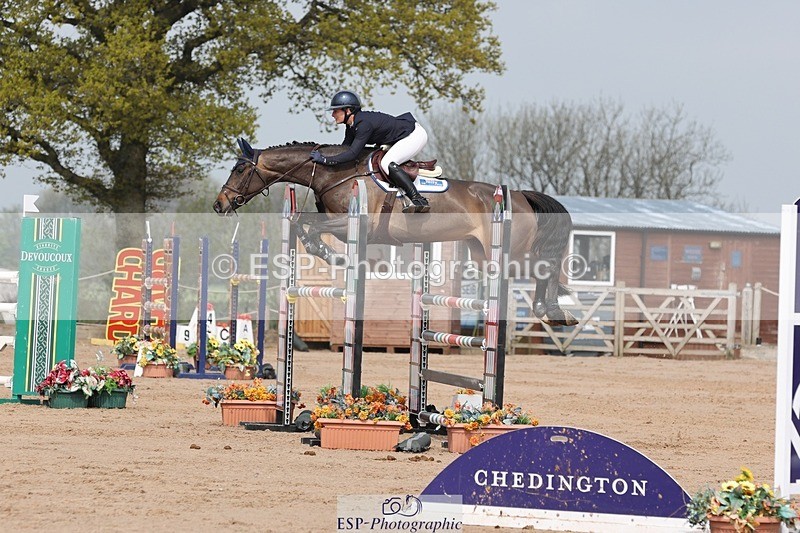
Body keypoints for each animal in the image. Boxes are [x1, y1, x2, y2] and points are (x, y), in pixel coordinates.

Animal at [214, 139, 577, 326]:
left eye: (241, 169)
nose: (219, 204)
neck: (335, 173)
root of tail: (518, 194)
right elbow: (302, 225)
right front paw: (329, 254)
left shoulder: (352, 223)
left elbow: (308, 226)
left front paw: (329, 253)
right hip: (482, 254)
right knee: (540, 270)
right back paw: (549, 310)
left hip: (508, 253)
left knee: (544, 267)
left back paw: (555, 311)